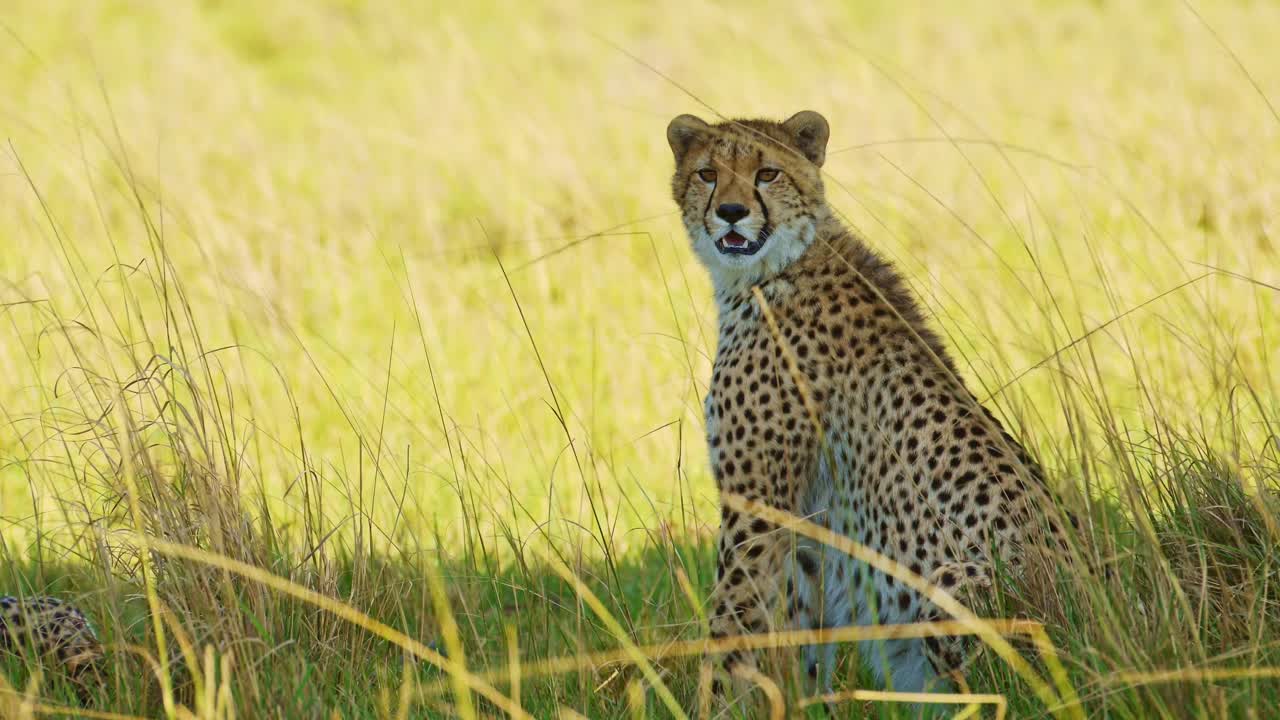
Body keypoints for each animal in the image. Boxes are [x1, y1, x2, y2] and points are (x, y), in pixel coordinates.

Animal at [665, 110, 1079, 698]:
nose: (731, 212)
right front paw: (806, 704)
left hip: (950, 585)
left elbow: (729, 624)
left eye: (767, 173)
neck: (779, 267)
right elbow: (801, 638)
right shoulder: (808, 526)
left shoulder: (757, 508)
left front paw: (712, 702)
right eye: (707, 173)